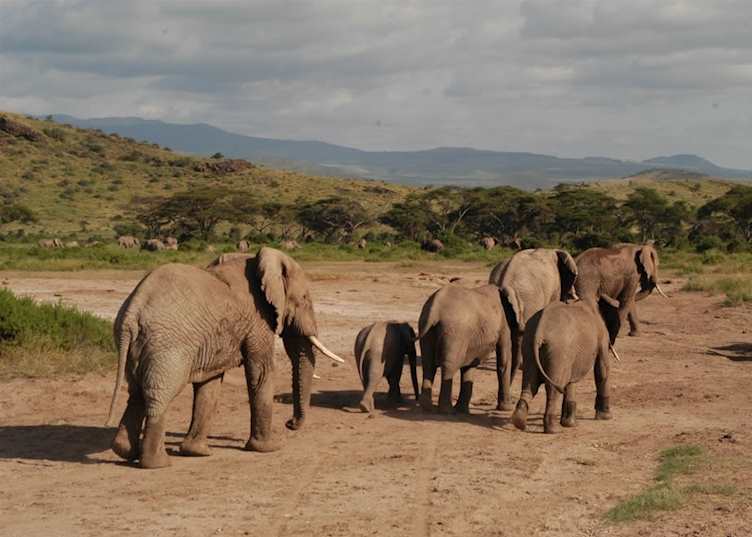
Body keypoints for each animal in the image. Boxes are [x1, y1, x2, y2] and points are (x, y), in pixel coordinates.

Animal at [106, 246, 344, 469]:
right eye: (304, 299)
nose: (290, 423)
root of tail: (133, 311)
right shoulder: (258, 320)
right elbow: (261, 372)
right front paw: (270, 448)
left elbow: (209, 384)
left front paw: (197, 452)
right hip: (168, 345)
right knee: (159, 395)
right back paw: (157, 463)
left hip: (140, 344)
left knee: (136, 393)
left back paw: (124, 452)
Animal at [417, 284, 510, 414]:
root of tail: (434, 308)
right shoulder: (504, 323)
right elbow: (503, 361)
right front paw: (506, 409)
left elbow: (470, 365)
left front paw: (463, 411)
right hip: (455, 332)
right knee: (449, 366)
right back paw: (447, 411)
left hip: (428, 329)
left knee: (428, 364)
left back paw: (427, 407)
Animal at [511, 293, 620, 434]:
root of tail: (540, 330)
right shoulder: (601, 335)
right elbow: (602, 369)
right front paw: (606, 417)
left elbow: (571, 380)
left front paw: (570, 424)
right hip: (558, 350)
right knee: (553, 388)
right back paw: (553, 430)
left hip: (529, 345)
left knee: (530, 385)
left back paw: (519, 422)